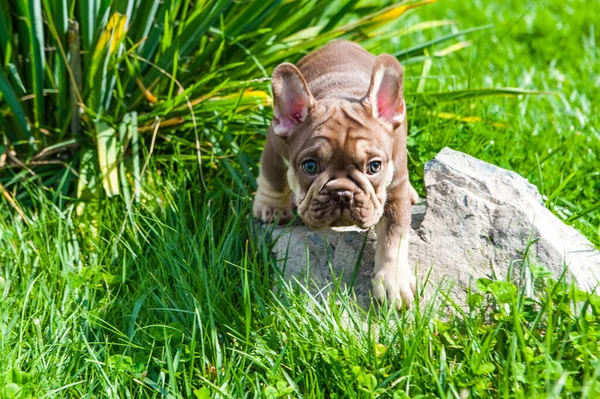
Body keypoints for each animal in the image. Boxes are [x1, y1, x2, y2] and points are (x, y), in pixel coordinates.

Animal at [253, 40, 418, 310]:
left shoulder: (395, 190)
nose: (342, 193)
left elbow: (394, 236)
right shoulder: (275, 144)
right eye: (309, 166)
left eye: (374, 167)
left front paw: (393, 282)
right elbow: (273, 176)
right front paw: (272, 207)